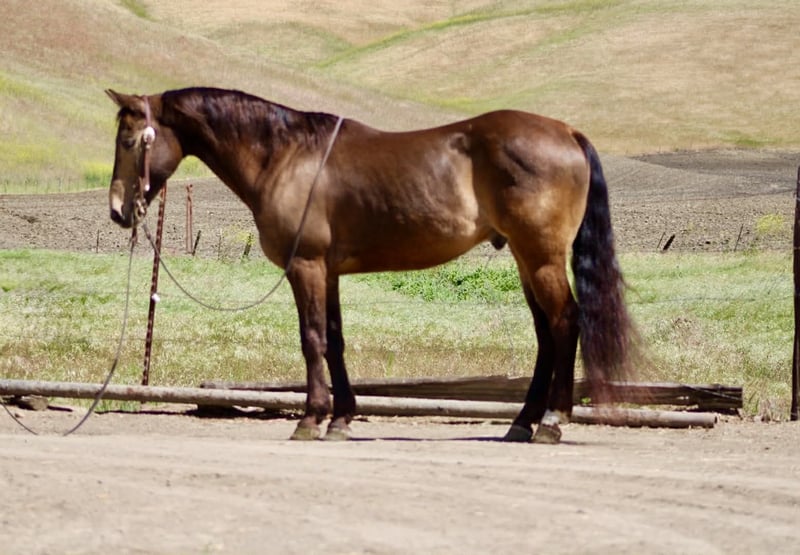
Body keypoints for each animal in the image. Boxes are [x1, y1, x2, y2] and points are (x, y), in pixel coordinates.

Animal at [106, 86, 634, 443]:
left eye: (130, 140)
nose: (117, 210)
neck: (286, 156)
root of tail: (566, 131)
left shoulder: (307, 266)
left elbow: (312, 338)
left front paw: (310, 419)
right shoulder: (329, 272)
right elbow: (335, 340)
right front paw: (340, 419)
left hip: (541, 257)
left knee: (565, 323)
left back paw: (551, 422)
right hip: (527, 260)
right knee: (546, 334)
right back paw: (522, 423)